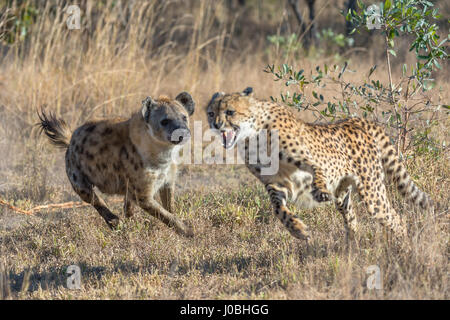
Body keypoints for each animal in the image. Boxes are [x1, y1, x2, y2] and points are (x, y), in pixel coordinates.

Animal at [37, 91, 195, 236]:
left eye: (184, 117)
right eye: (165, 121)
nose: (182, 133)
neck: (162, 153)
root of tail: (70, 140)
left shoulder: (168, 179)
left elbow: (170, 207)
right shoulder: (142, 194)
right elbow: (164, 214)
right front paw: (188, 232)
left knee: (127, 204)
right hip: (76, 175)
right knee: (94, 199)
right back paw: (116, 223)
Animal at [206, 86, 434, 241]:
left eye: (230, 112)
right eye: (210, 113)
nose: (216, 124)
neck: (253, 134)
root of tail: (356, 120)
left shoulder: (313, 161)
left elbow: (317, 172)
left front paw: (319, 193)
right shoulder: (276, 183)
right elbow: (278, 209)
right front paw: (297, 229)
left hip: (372, 193)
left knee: (396, 219)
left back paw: (403, 247)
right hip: (344, 196)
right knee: (352, 220)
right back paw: (352, 248)